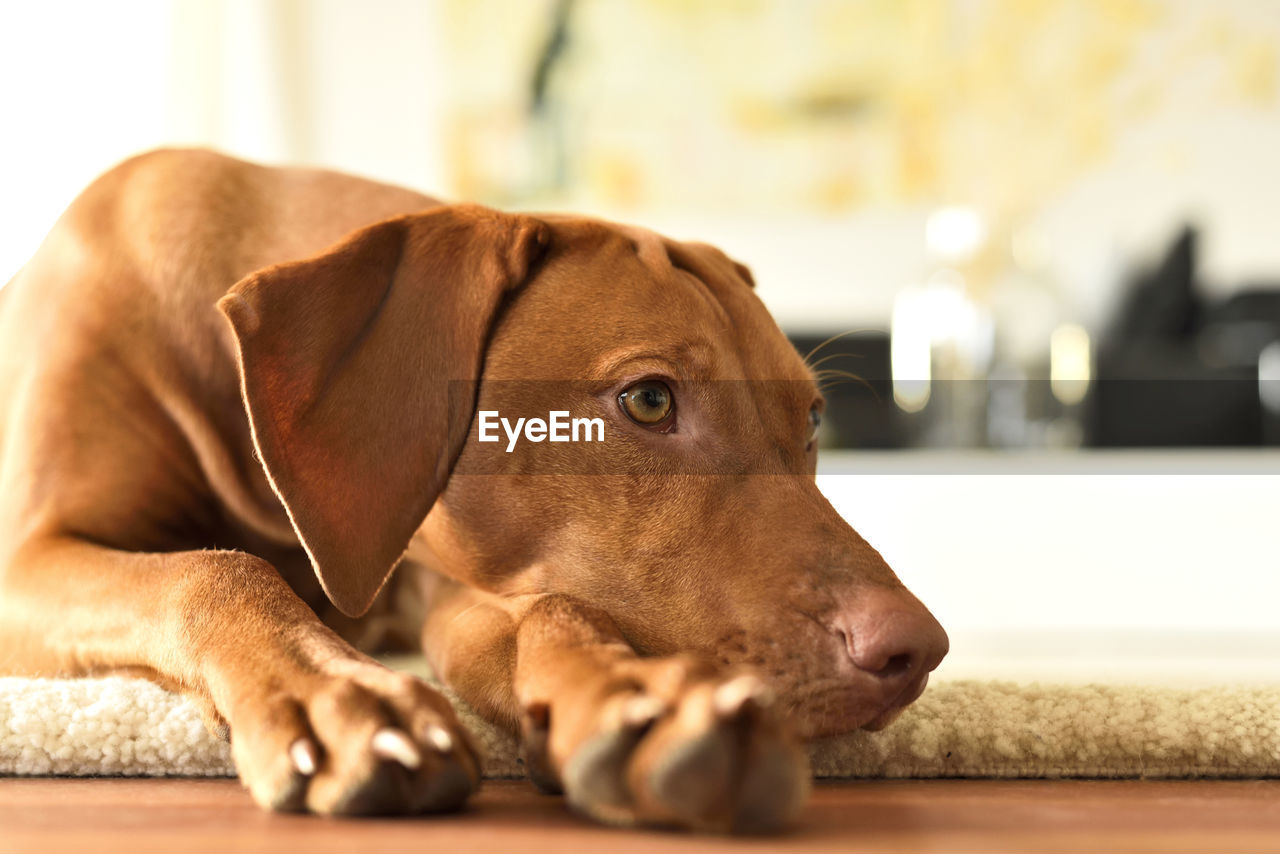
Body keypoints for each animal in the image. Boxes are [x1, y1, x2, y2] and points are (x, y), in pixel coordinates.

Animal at [0, 150, 942, 829]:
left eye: (813, 420)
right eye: (649, 399)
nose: (916, 651)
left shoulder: (445, 568)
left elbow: (542, 611)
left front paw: (638, 699)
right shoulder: (27, 559)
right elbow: (209, 568)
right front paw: (342, 698)